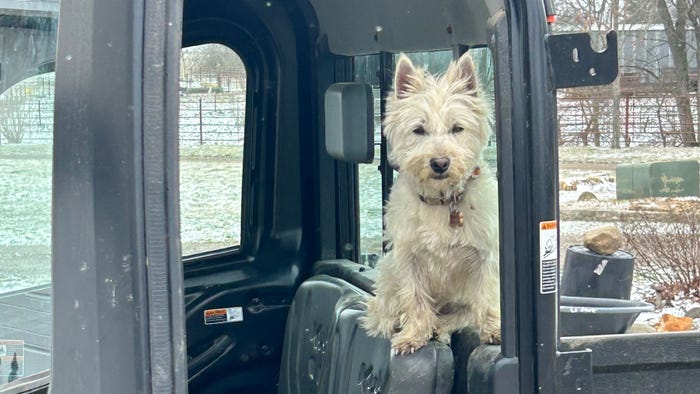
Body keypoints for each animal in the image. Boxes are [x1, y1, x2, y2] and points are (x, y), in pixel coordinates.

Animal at [360, 51, 504, 354]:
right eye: (418, 130)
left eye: (457, 128)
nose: (440, 162)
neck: (442, 201)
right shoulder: (408, 258)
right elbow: (414, 298)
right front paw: (414, 334)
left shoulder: (485, 254)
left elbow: (486, 294)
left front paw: (494, 330)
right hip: (387, 271)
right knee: (384, 309)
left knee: (462, 313)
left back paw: (442, 326)